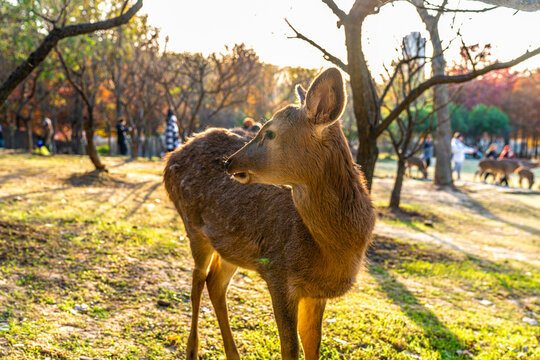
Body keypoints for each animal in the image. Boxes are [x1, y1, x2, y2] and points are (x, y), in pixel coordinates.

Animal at [163, 68, 376, 360]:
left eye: (271, 133)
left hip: (230, 245)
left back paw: (233, 355)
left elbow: (313, 344)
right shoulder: (278, 272)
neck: (332, 252)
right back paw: (192, 351)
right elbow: (290, 347)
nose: (229, 162)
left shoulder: (316, 293)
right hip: (192, 224)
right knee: (197, 281)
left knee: (214, 283)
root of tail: (170, 158)